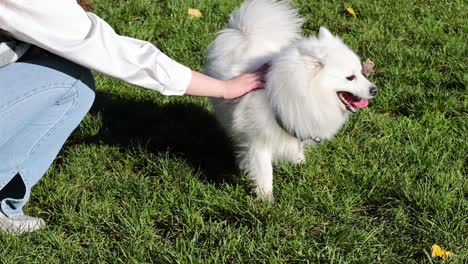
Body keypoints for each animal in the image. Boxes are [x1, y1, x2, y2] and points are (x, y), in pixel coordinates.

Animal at [205, 0, 376, 200]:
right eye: (350, 77)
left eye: (361, 72)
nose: (374, 90)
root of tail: (246, 35)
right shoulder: (259, 141)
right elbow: (265, 172)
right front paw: (266, 199)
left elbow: (297, 149)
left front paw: (300, 163)